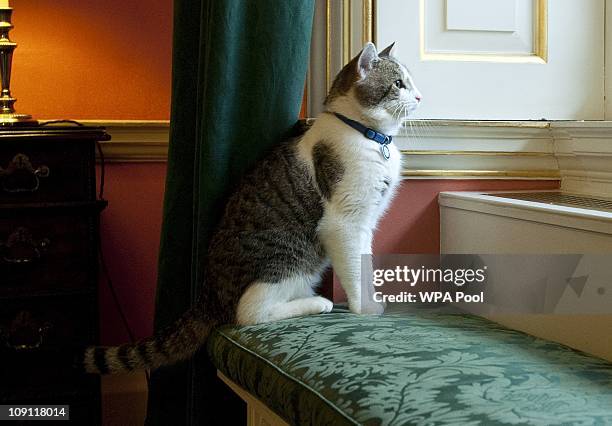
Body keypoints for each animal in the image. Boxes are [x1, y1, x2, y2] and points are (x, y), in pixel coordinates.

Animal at [83, 40, 420, 372]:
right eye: (398, 83)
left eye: (410, 81)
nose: (419, 95)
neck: (367, 135)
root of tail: (208, 295)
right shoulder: (346, 222)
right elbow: (355, 268)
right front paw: (364, 308)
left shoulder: (366, 223)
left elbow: (366, 264)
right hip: (287, 257)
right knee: (249, 313)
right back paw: (316, 303)